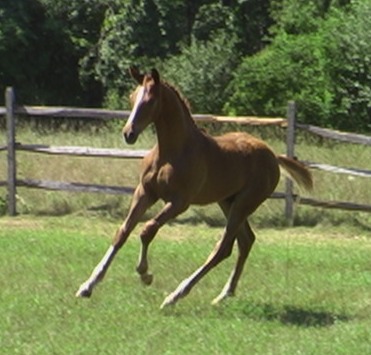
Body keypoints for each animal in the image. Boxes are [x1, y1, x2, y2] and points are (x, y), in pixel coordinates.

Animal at [76, 67, 314, 308]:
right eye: (132, 98)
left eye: (150, 100)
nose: (128, 134)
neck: (171, 151)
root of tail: (273, 156)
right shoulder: (145, 192)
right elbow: (123, 232)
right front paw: (87, 286)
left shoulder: (180, 202)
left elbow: (147, 230)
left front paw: (145, 274)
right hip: (227, 201)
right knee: (245, 241)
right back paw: (224, 294)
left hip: (244, 204)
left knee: (223, 248)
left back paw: (175, 295)